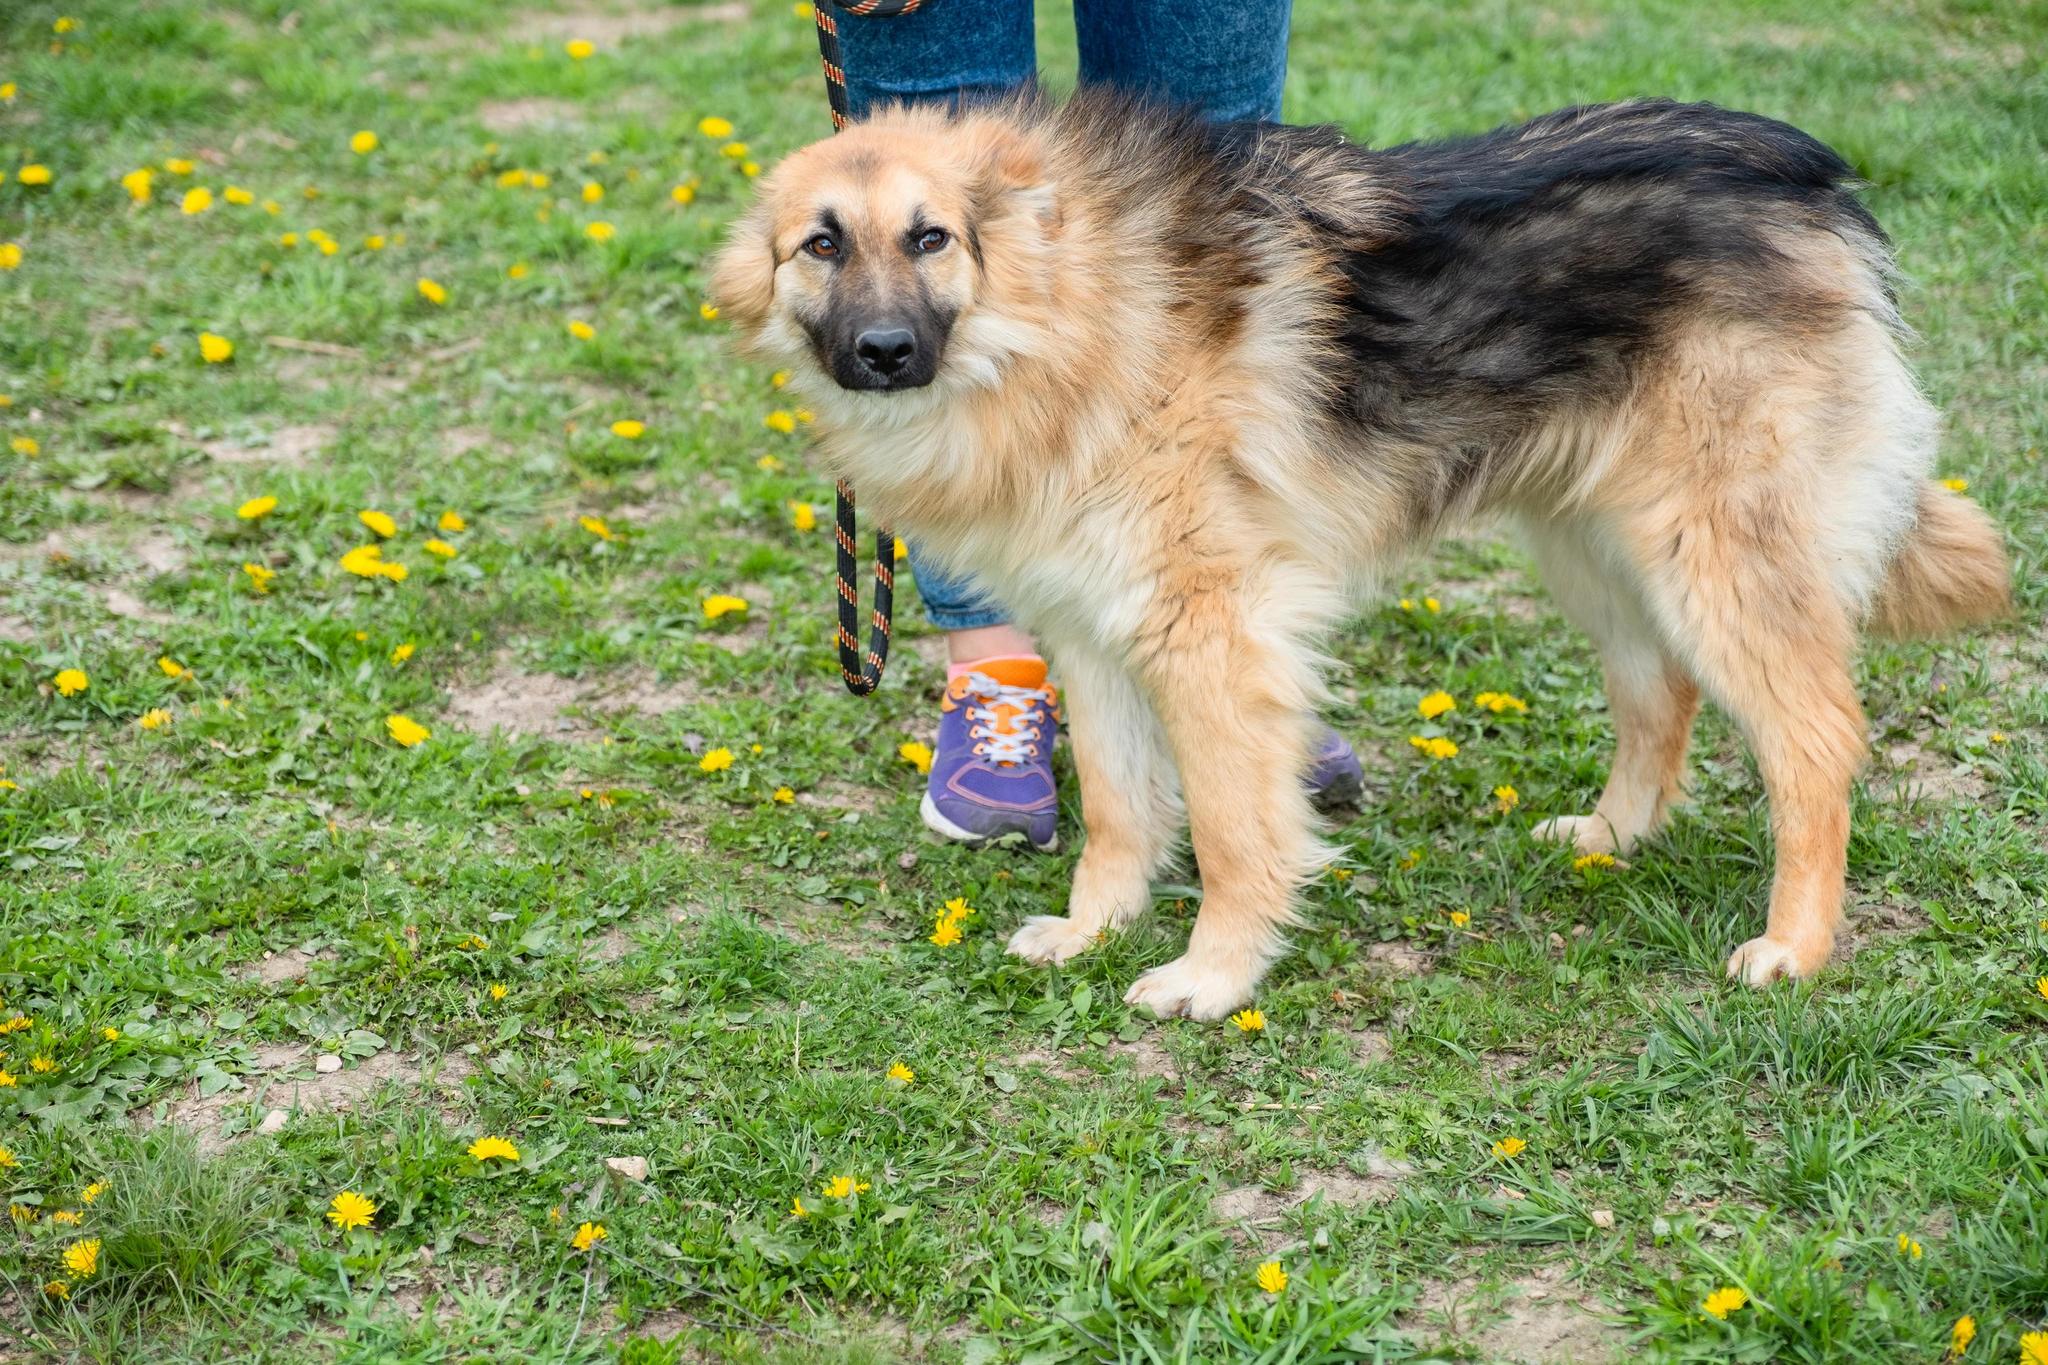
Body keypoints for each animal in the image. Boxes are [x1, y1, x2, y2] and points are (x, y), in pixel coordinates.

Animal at [712, 90, 2007, 1019]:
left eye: (931, 237)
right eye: (819, 246)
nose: (883, 351)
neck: (1064, 310)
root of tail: (1807, 181)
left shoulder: (1208, 635)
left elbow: (1232, 831)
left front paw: (1212, 976)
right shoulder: (1089, 631)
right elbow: (1121, 812)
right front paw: (1092, 930)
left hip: (1711, 558)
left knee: (1813, 741)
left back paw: (1794, 944)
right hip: (1596, 551)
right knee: (1659, 697)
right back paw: (1609, 838)